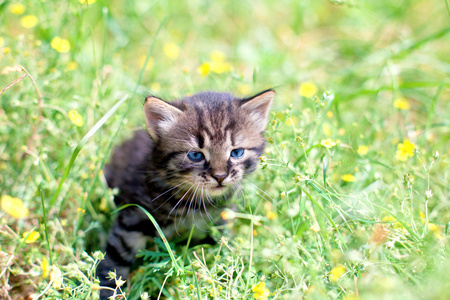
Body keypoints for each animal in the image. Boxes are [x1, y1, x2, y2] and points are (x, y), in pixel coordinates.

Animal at [96, 89, 274, 298]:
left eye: (236, 153)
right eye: (196, 155)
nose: (220, 176)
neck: (194, 203)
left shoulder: (219, 221)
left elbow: (221, 250)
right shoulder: (132, 217)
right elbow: (115, 260)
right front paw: (107, 291)